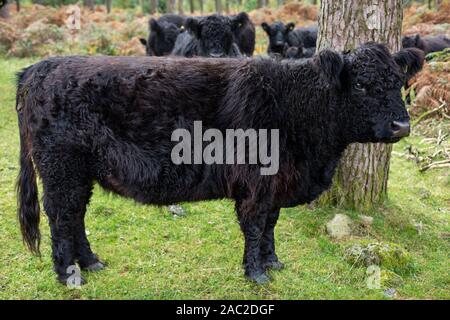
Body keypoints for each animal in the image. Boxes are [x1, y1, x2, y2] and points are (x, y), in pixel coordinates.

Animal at [16, 42, 422, 284]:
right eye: (362, 85)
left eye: (399, 82)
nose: (402, 125)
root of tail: (44, 66)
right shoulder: (256, 183)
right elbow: (255, 226)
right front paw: (256, 274)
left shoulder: (275, 184)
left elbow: (271, 225)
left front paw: (273, 263)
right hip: (61, 168)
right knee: (62, 218)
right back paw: (69, 274)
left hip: (78, 173)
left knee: (75, 216)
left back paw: (90, 261)